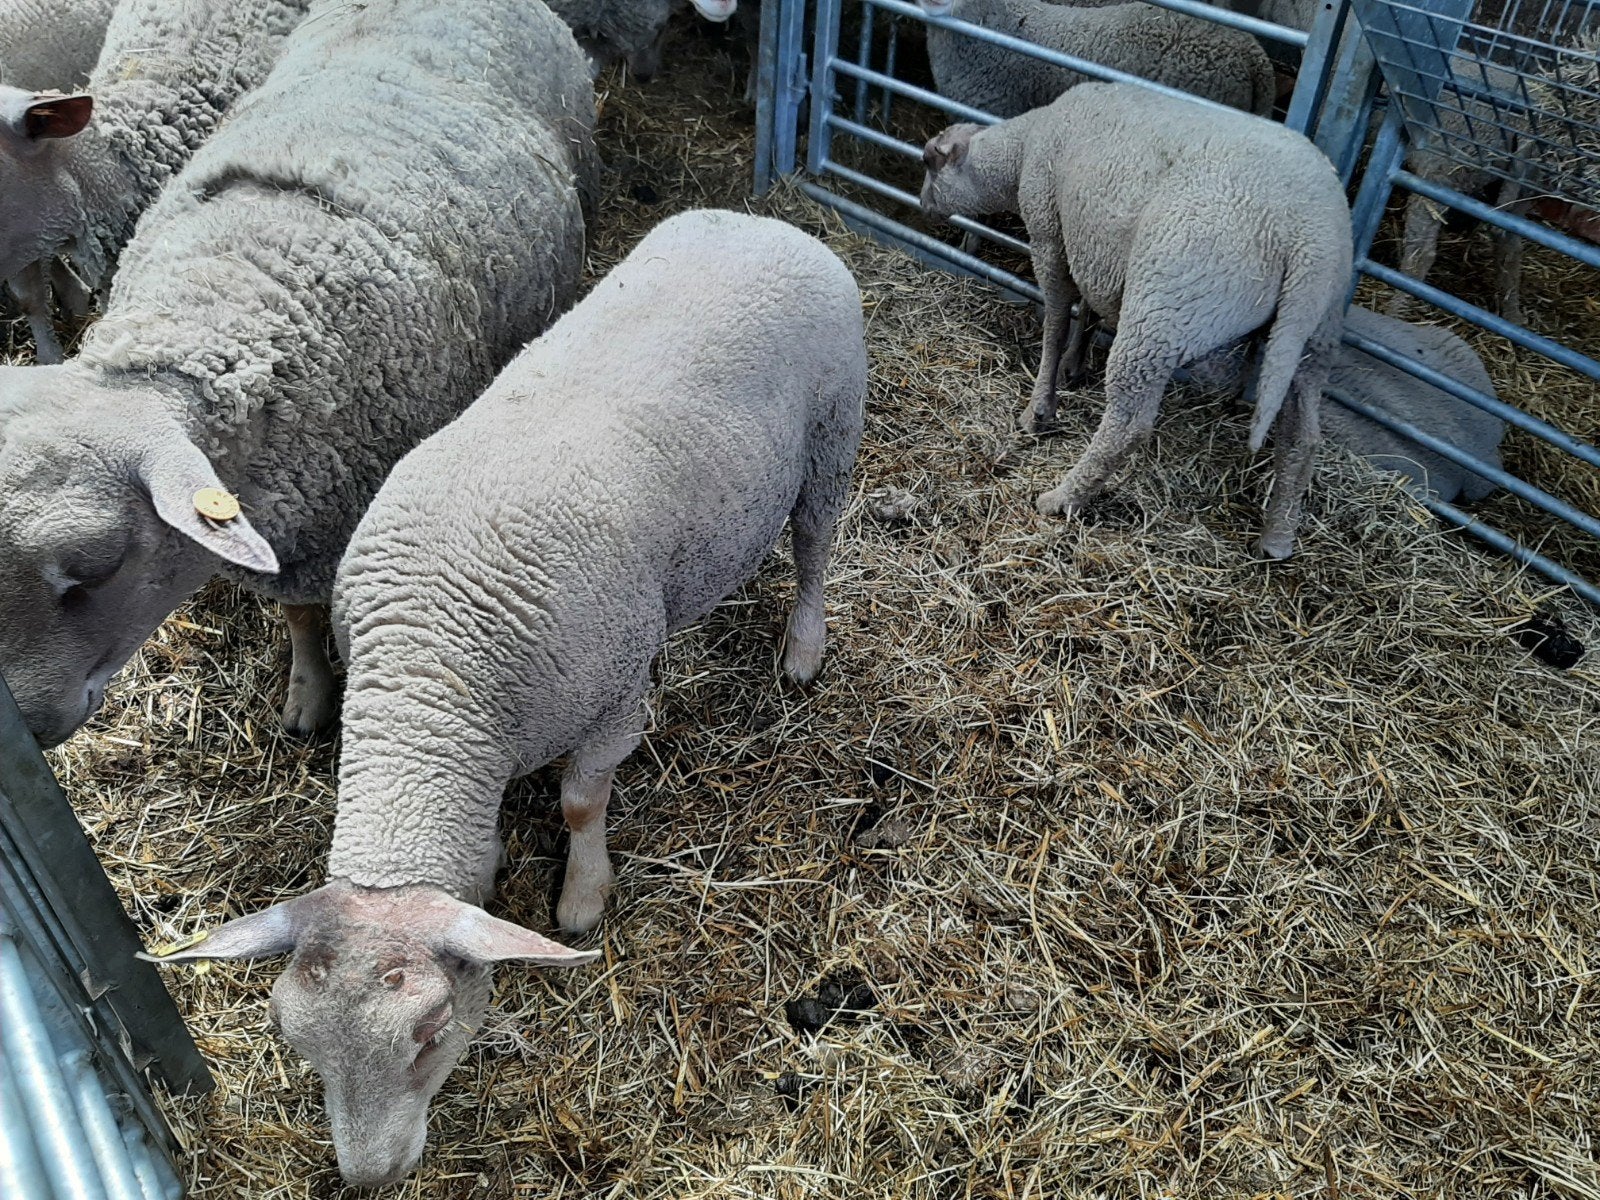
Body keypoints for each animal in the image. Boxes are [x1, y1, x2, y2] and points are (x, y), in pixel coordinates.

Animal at [142, 208, 868, 1187]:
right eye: (292, 1039)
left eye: (433, 1030)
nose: (370, 1178)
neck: (433, 680)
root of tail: (771, 222)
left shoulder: (612, 695)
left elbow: (581, 802)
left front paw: (583, 897)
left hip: (833, 434)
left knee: (818, 547)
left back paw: (803, 648)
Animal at [920, 81, 1352, 558]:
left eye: (928, 162)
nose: (921, 204)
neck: (1022, 149)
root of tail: (1309, 238)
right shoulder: (1095, 249)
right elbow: (1089, 311)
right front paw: (1075, 365)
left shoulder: (1050, 231)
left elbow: (1057, 318)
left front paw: (1040, 407)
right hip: (1315, 334)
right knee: (1302, 435)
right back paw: (1277, 537)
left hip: (1165, 308)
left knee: (1128, 424)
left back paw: (1062, 498)